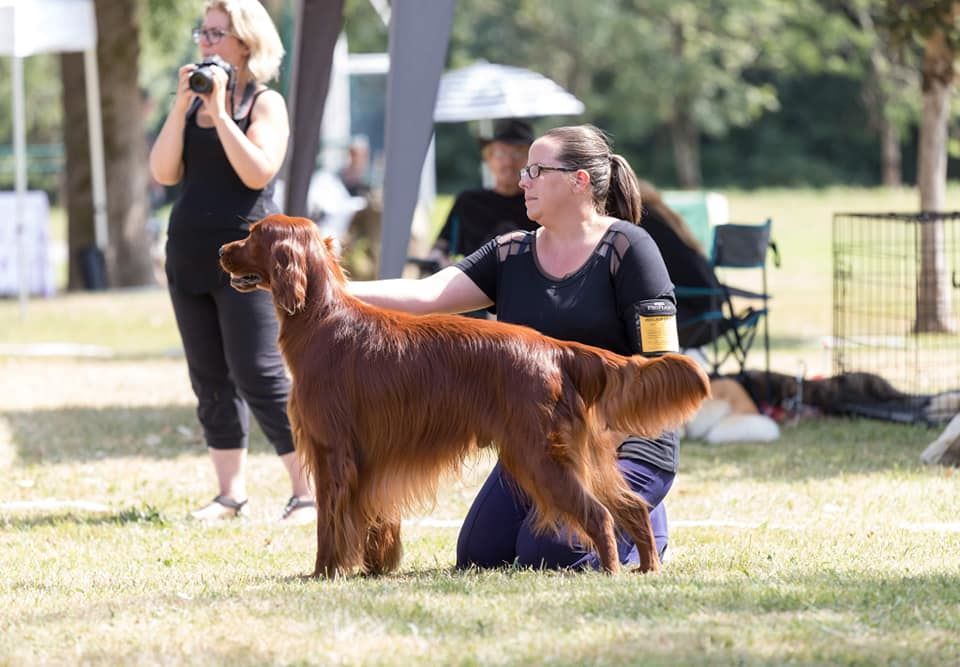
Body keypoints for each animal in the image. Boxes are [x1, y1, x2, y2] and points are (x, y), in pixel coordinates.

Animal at [219, 215, 712, 580]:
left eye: (254, 233)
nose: (221, 251)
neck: (321, 319)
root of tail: (555, 348)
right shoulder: (368, 461)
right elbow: (372, 521)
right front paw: (374, 567)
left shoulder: (332, 453)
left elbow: (330, 523)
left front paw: (324, 572)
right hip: (579, 455)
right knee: (632, 506)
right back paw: (647, 568)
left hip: (540, 455)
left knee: (598, 515)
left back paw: (610, 572)